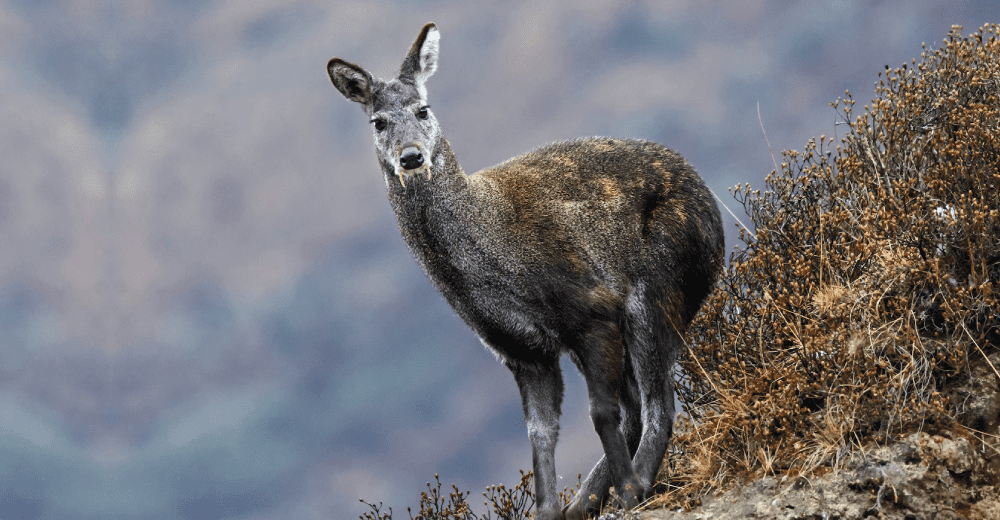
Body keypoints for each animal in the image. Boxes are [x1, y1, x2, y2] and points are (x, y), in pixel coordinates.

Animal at [328, 23, 728, 520]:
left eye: (423, 108)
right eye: (377, 122)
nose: (411, 157)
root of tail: (713, 210)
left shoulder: (590, 308)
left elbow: (600, 413)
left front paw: (629, 490)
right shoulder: (522, 350)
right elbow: (540, 434)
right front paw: (549, 509)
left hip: (658, 284)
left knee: (658, 404)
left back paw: (634, 487)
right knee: (640, 405)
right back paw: (585, 502)